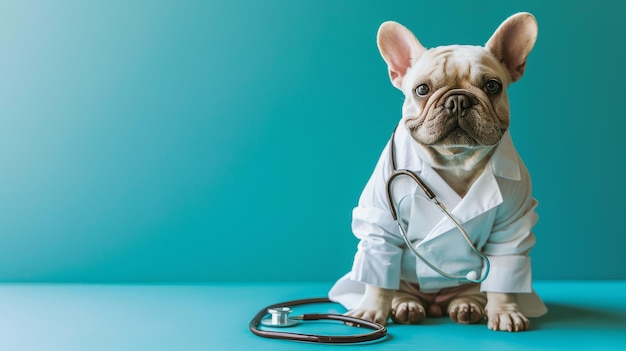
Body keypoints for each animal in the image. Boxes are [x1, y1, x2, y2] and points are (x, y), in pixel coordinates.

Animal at [330, 12, 544, 332]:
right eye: (422, 89)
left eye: (493, 86)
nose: (458, 100)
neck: (456, 159)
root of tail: (434, 304)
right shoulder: (381, 222)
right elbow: (379, 274)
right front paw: (370, 310)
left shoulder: (512, 225)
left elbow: (505, 272)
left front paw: (505, 310)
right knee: (396, 286)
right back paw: (407, 305)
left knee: (476, 288)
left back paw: (466, 305)